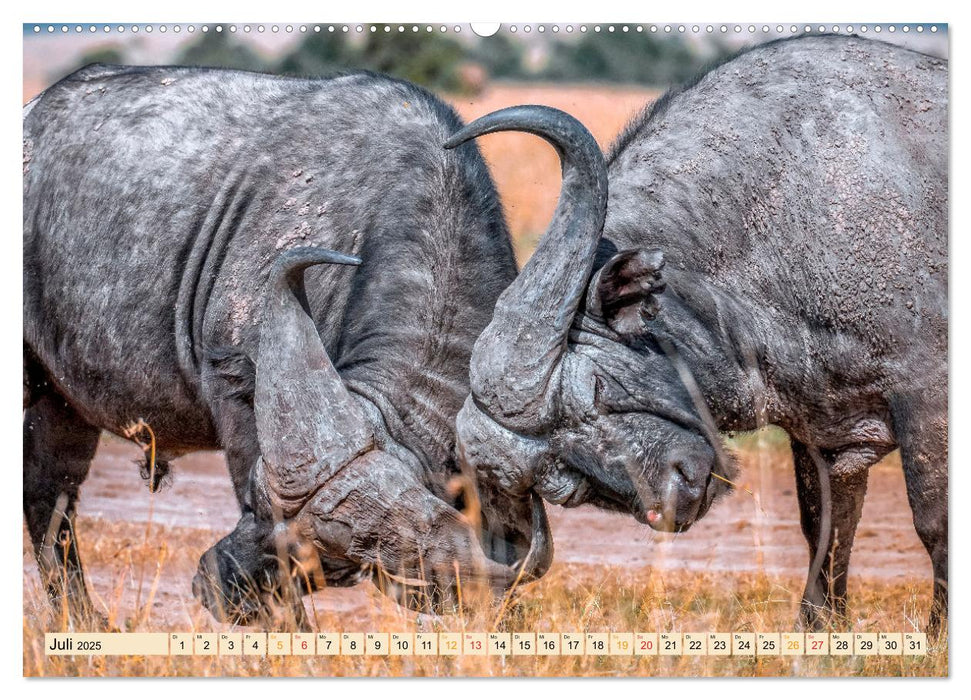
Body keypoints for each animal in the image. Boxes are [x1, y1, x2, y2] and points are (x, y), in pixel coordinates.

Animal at [22, 64, 556, 624]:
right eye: (259, 503)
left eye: (337, 567)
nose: (216, 588)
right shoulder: (238, 385)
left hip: (64, 403)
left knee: (49, 493)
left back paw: (80, 618)